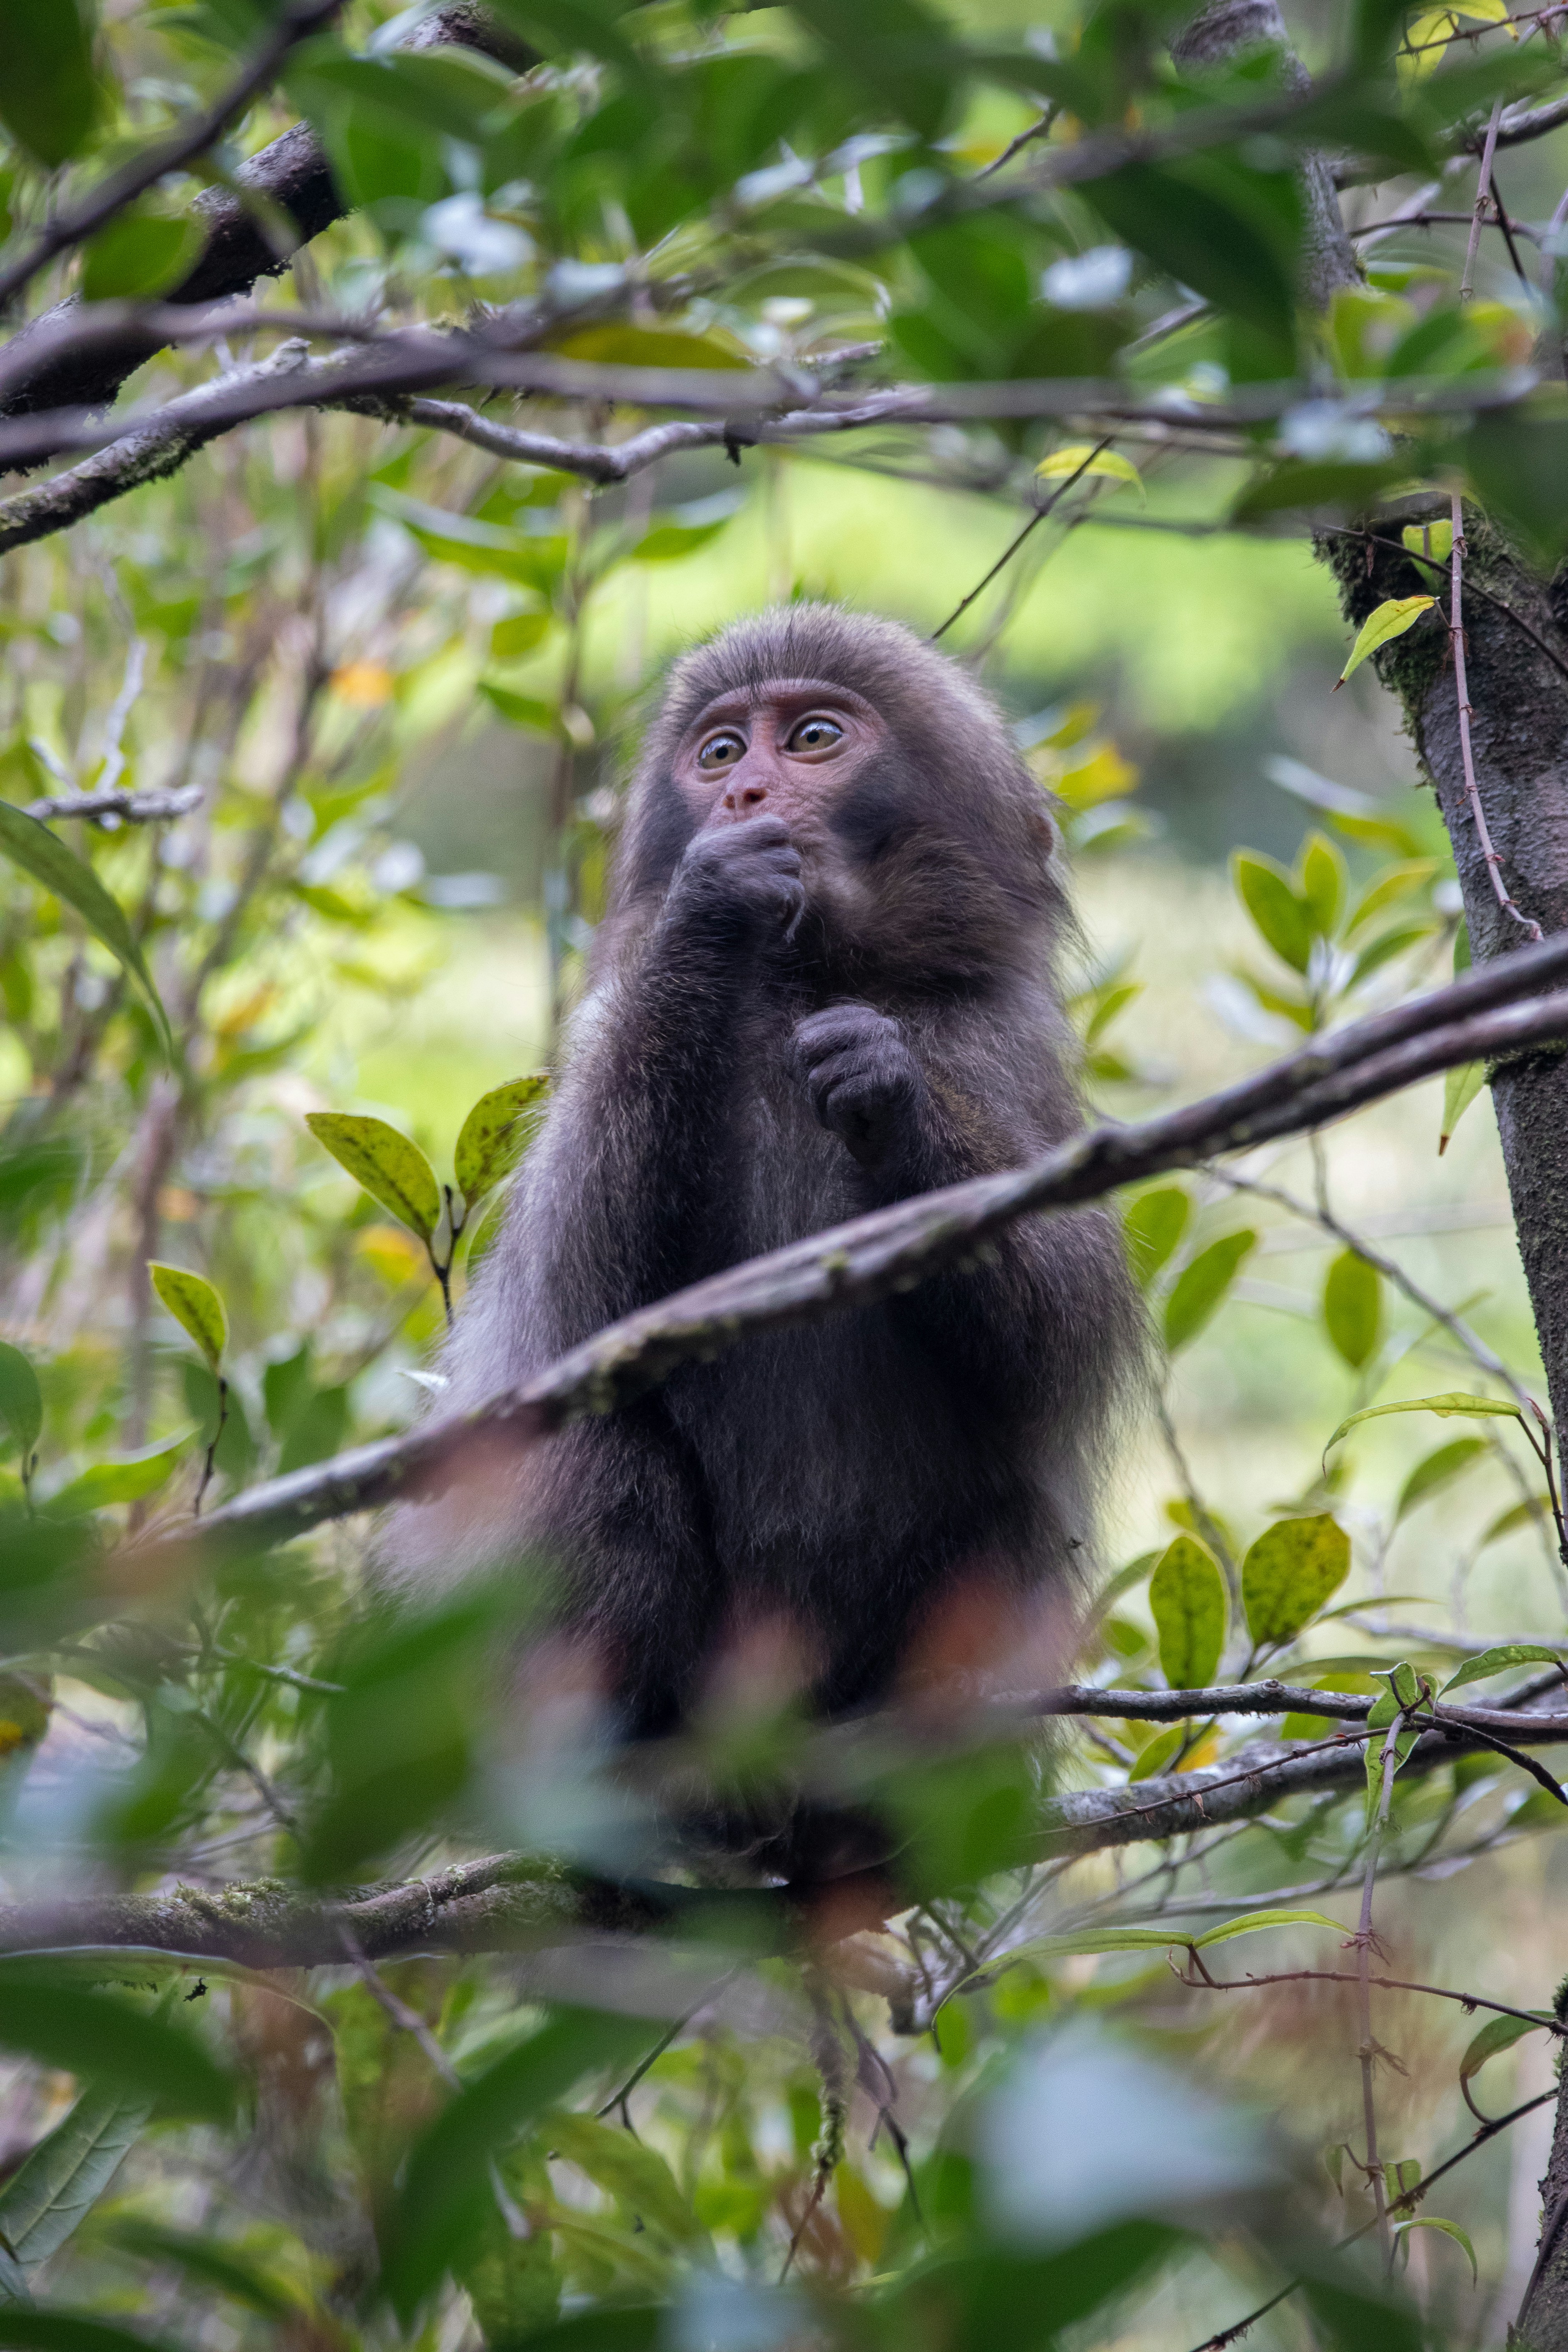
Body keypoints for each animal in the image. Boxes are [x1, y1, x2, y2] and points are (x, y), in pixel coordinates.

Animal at [383, 603, 1142, 1750]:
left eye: (814, 738)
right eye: (721, 752)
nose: (745, 794)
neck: (808, 979)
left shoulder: (1001, 1048)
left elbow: (1062, 1326)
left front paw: (890, 1102)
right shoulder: (601, 1027)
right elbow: (573, 1295)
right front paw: (712, 904)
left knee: (1008, 1516)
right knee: (595, 1445)